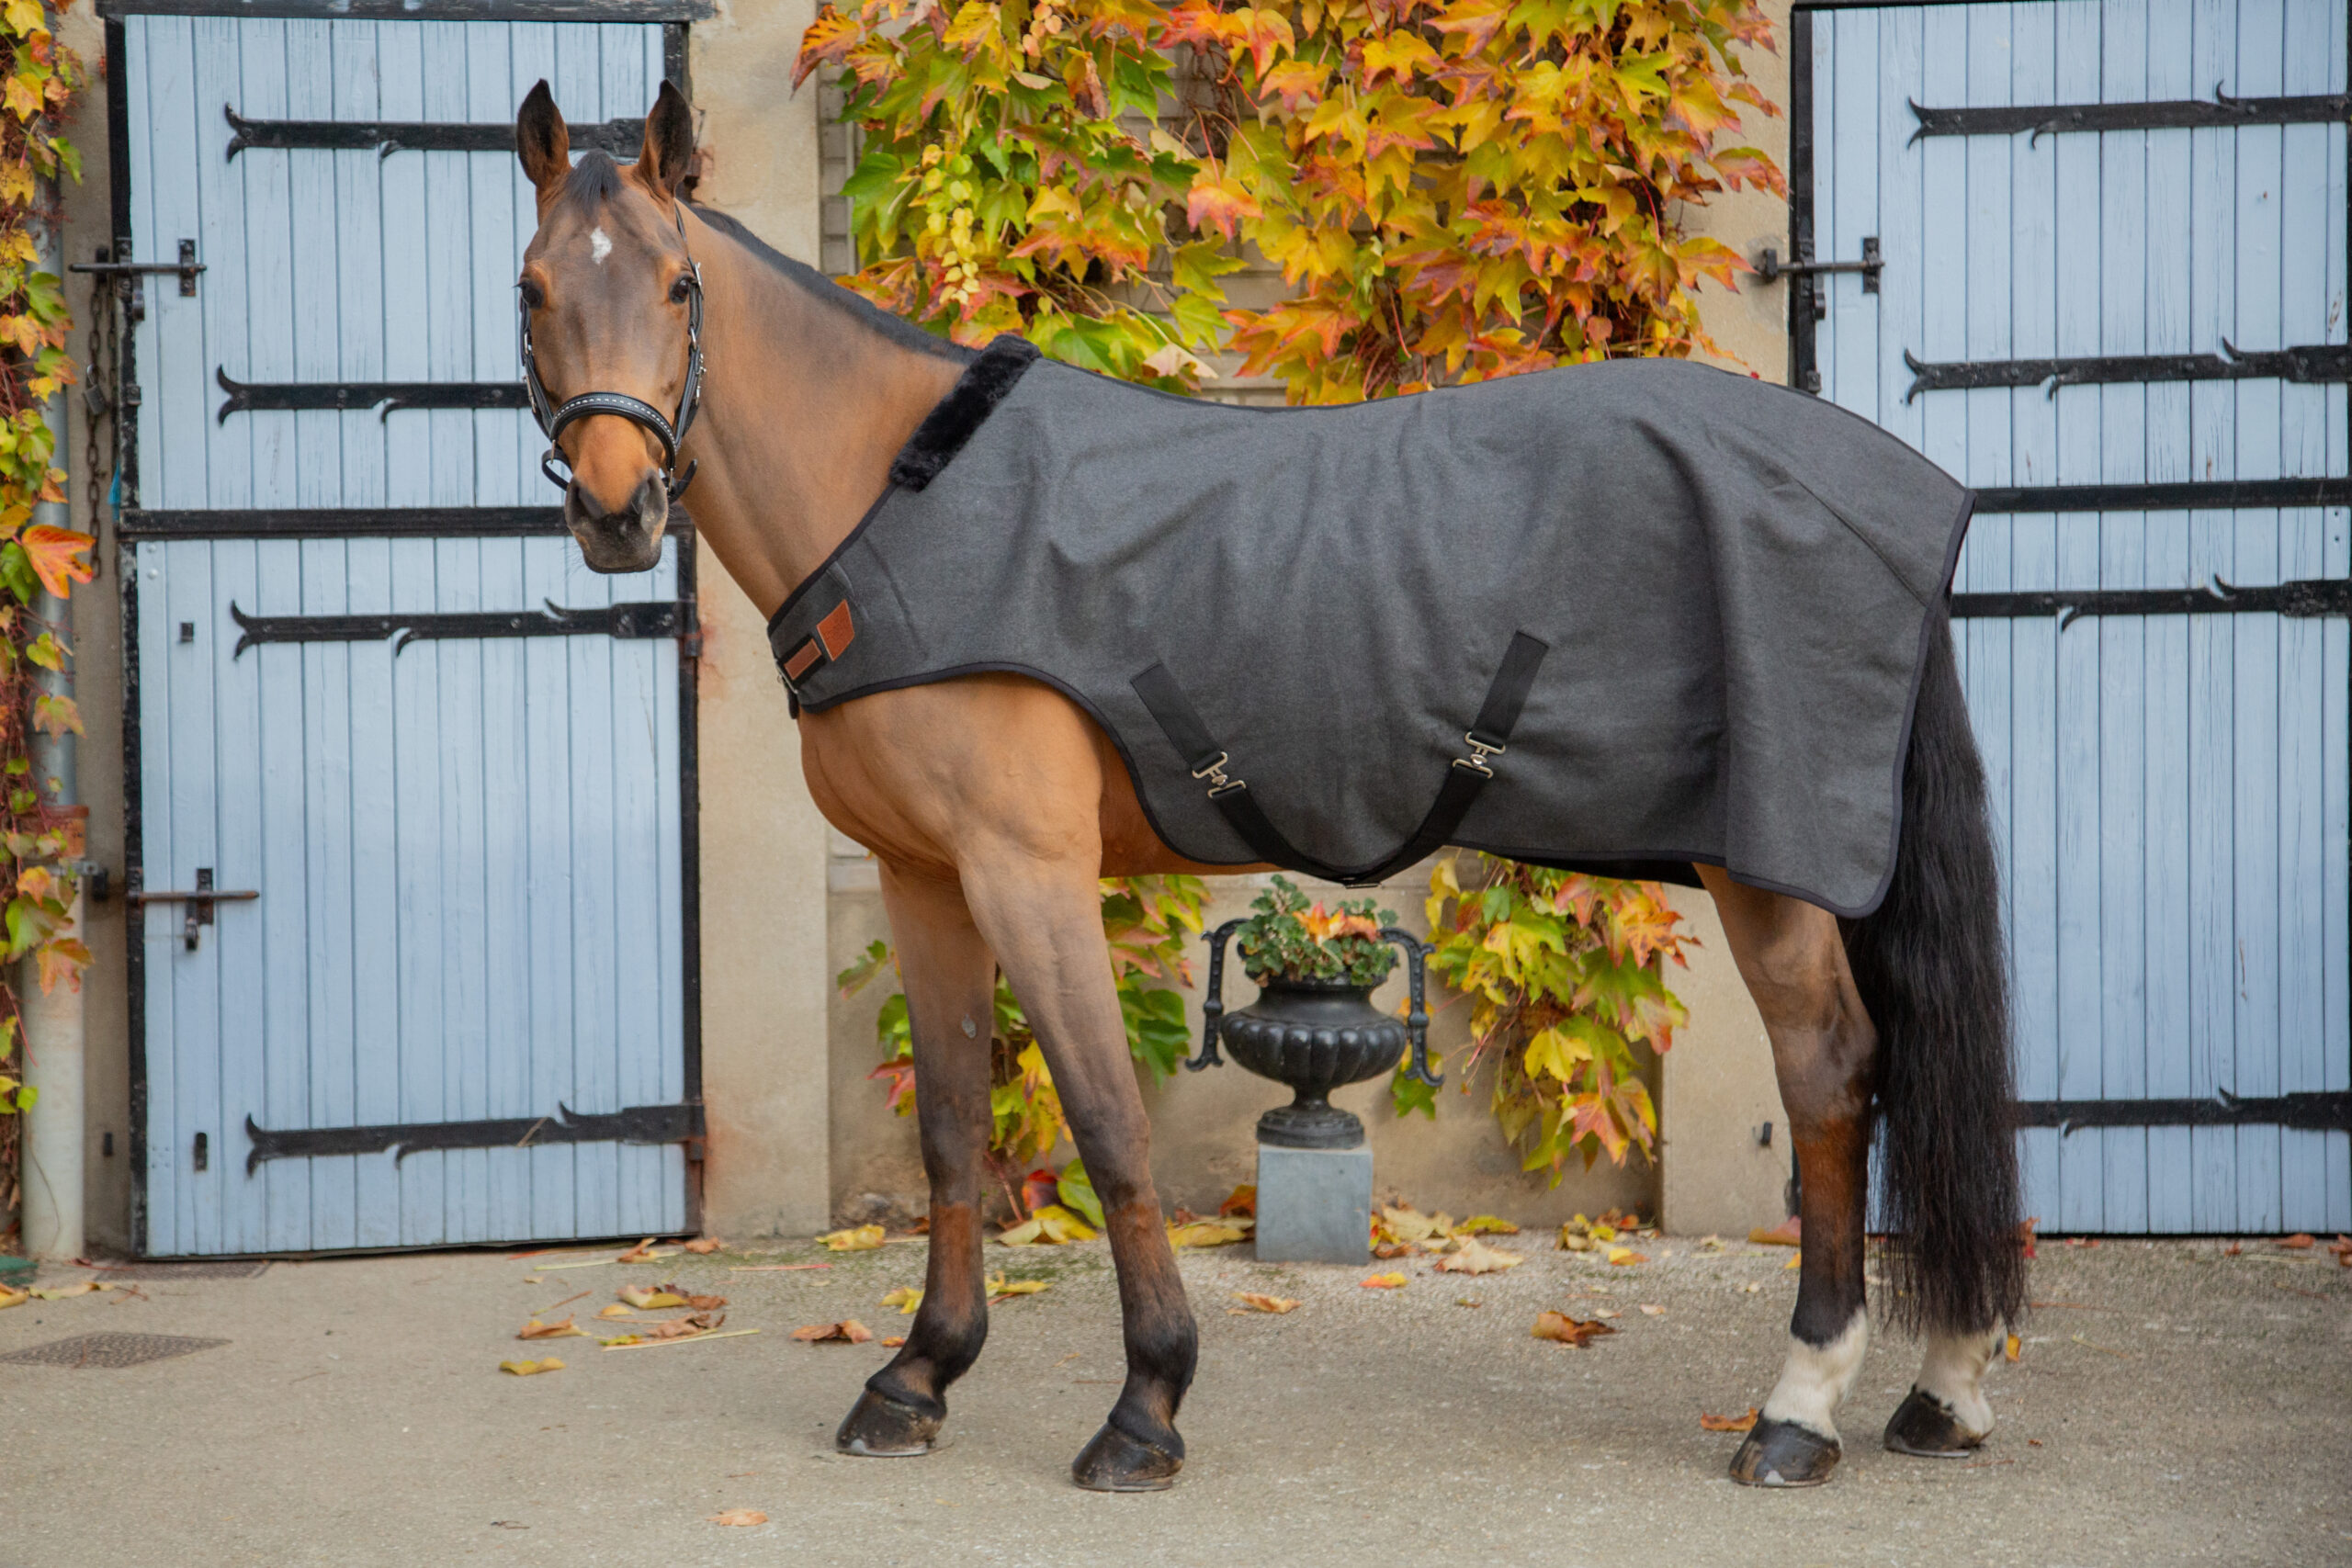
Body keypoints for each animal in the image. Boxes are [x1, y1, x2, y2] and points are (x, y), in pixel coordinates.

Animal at [511, 81, 2025, 1492]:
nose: (615, 510)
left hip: (1766, 868)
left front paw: (1145, 1407)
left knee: (1831, 1072)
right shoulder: (923, 873)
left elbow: (1109, 1124)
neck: (897, 495)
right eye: (533, 290)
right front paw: (914, 1378)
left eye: (678, 284)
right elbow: (948, 1131)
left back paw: (1798, 1409)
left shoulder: (1026, 869)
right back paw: (1941, 1385)